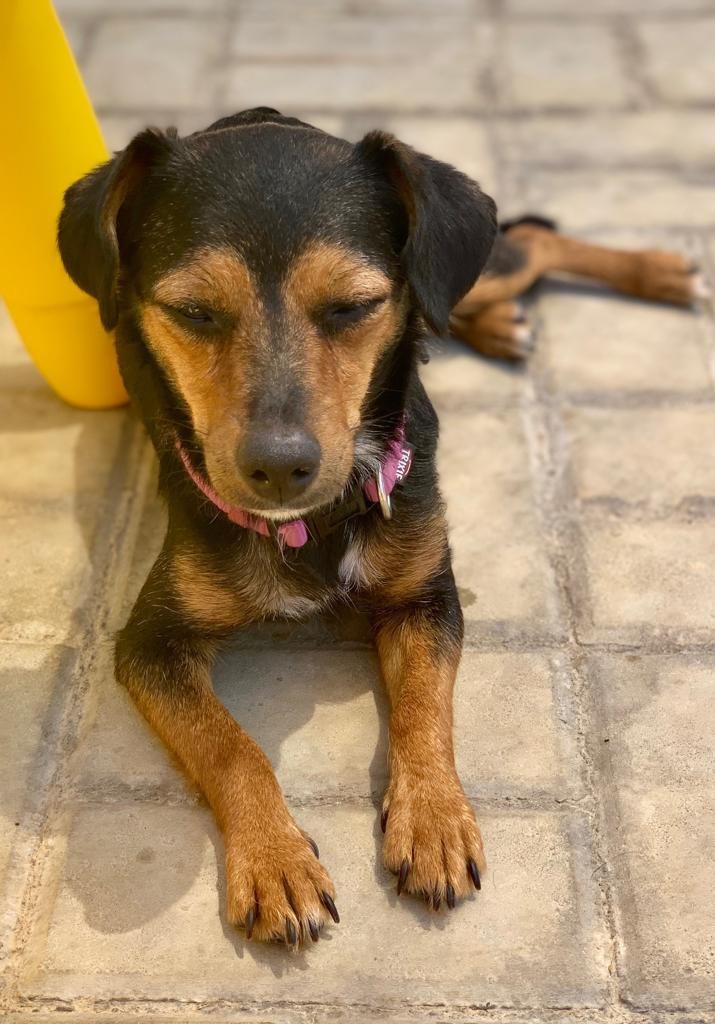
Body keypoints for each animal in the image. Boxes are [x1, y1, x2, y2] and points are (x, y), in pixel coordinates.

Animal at [58, 106, 706, 948]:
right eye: (192, 312)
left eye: (352, 307)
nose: (278, 467)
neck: (313, 523)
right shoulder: (148, 644)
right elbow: (230, 746)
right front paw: (275, 863)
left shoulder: (427, 596)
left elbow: (427, 709)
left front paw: (432, 823)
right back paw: (502, 322)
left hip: (460, 260)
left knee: (528, 246)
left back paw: (658, 270)